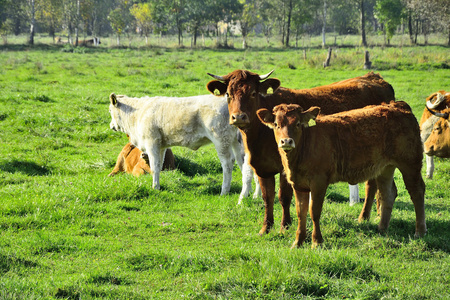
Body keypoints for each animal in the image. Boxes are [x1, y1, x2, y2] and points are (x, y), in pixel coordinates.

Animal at [108, 92, 260, 200]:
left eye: (110, 110)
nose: (111, 126)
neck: (138, 113)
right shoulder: (161, 146)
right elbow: (159, 166)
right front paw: (157, 186)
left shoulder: (152, 144)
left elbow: (155, 167)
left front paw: (155, 187)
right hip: (237, 143)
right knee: (245, 165)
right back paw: (252, 194)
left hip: (221, 140)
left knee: (228, 164)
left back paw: (224, 191)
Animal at [206, 69, 396, 236]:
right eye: (228, 94)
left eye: (253, 93)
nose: (239, 117)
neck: (259, 134)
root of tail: (374, 77)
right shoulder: (262, 167)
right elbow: (267, 198)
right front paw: (266, 228)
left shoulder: (286, 168)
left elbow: (284, 197)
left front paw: (284, 226)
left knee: (372, 185)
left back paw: (365, 217)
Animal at [258, 102, 428, 247]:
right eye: (276, 124)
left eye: (298, 124)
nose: (286, 141)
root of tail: (397, 105)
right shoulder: (298, 184)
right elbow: (301, 213)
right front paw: (298, 242)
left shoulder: (319, 182)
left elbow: (314, 211)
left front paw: (317, 241)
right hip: (385, 167)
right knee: (387, 194)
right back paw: (382, 228)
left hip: (410, 162)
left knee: (417, 192)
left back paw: (420, 231)